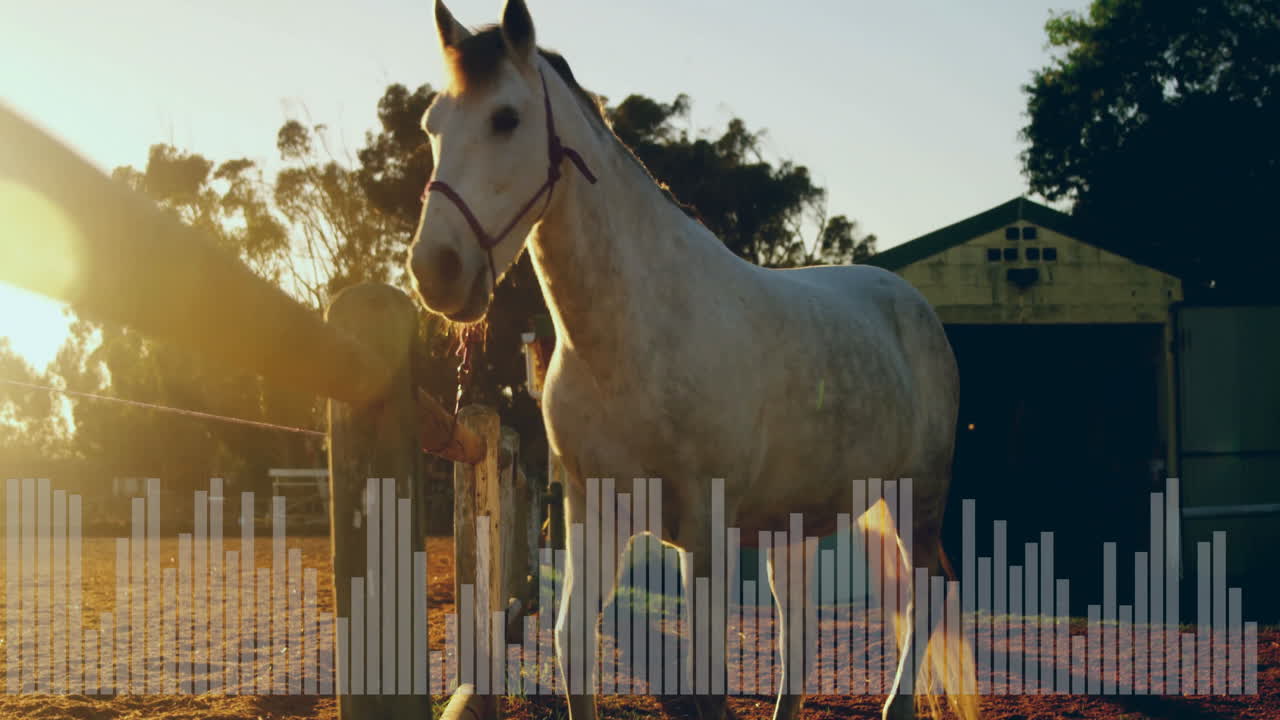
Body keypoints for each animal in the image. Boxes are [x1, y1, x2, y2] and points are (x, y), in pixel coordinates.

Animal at [408, 2, 978, 719]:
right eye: (432, 124)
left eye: (506, 117)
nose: (435, 270)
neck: (631, 343)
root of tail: (912, 303)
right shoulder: (592, 516)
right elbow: (574, 644)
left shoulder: (703, 534)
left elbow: (707, 679)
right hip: (794, 527)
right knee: (799, 625)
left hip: (914, 498)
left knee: (927, 596)